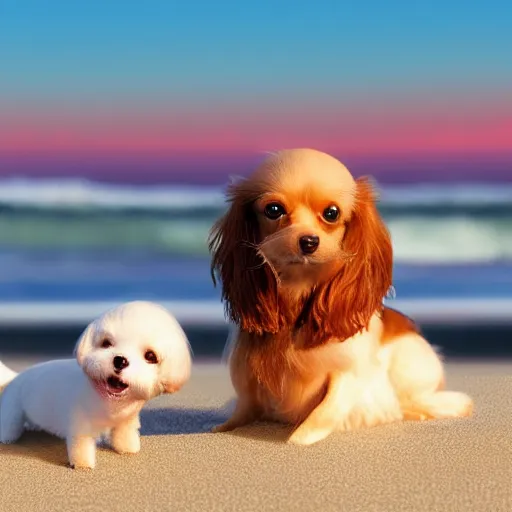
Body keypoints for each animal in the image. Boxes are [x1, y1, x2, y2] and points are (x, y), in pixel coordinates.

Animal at [0, 302, 192, 470]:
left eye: (150, 356)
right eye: (106, 343)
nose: (120, 360)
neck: (110, 402)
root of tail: (17, 376)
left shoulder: (127, 421)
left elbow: (125, 435)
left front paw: (128, 449)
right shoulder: (80, 426)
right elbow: (81, 447)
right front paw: (83, 465)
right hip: (12, 412)